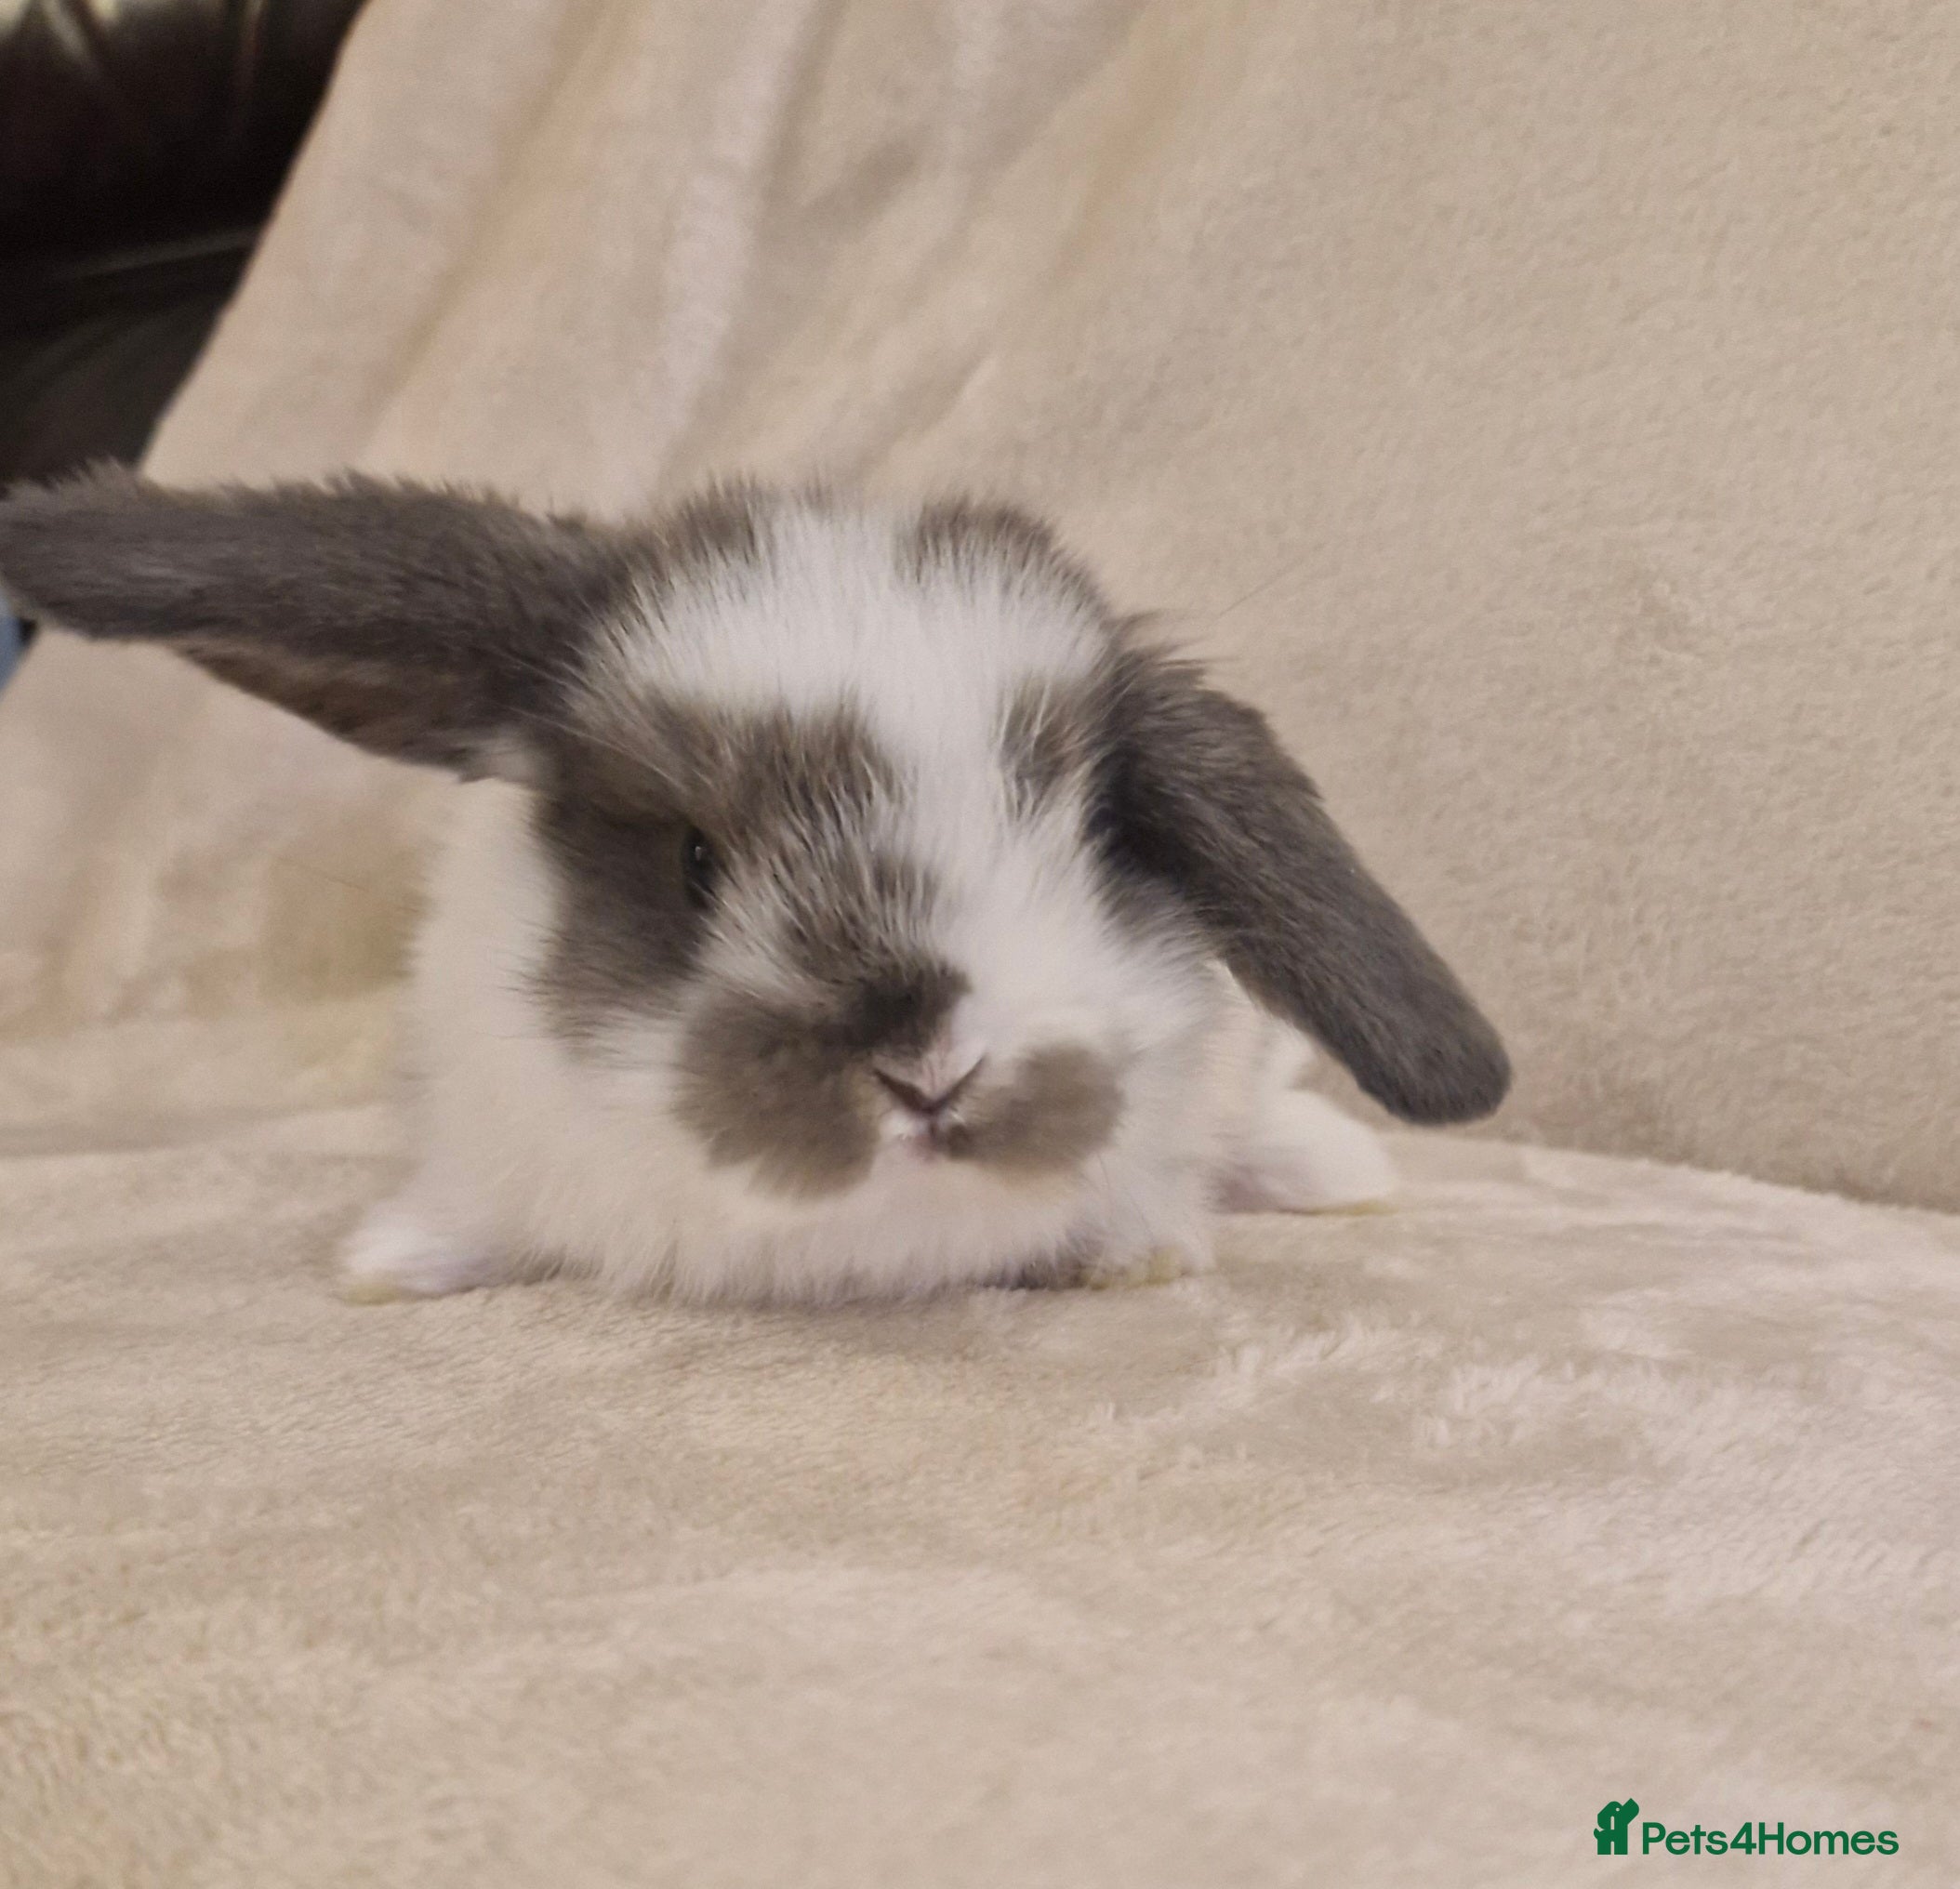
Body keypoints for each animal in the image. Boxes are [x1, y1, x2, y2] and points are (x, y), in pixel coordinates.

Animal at [0, 470, 1510, 1303]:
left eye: (1089, 831)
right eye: (693, 859)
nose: (930, 1069)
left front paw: (1136, 1255)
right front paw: (393, 1265)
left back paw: (1332, 1170)